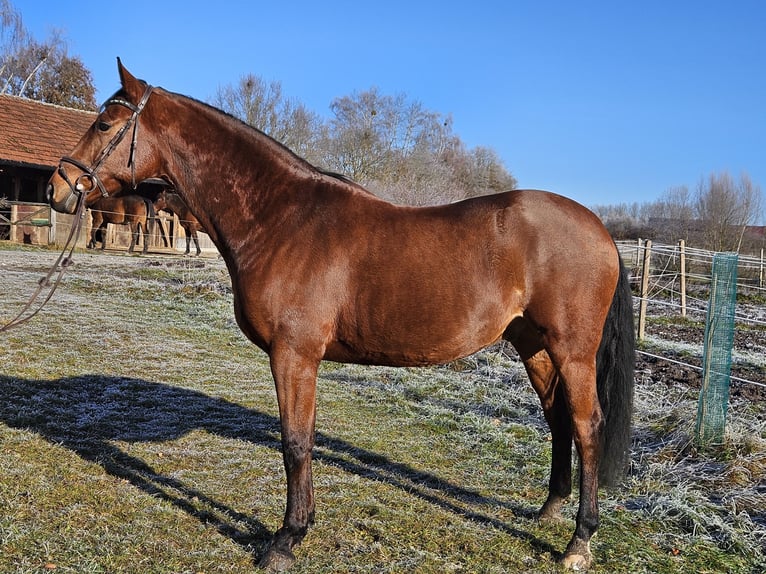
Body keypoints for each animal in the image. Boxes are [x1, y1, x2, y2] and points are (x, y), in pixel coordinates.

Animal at [47, 60, 635, 571]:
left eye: (104, 123)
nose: (58, 187)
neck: (281, 218)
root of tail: (601, 230)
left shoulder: (294, 356)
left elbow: (295, 443)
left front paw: (285, 540)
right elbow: (301, 441)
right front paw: (298, 528)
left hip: (572, 352)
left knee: (586, 426)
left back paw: (578, 542)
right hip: (533, 344)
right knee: (558, 418)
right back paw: (549, 512)